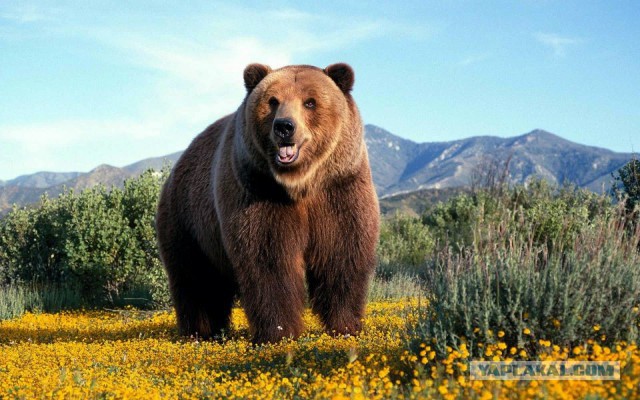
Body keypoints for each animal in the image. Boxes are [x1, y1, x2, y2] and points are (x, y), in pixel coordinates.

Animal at [156, 62, 380, 344]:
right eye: (273, 101)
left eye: (310, 102)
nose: (284, 126)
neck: (300, 184)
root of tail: (178, 164)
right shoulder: (258, 191)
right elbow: (269, 260)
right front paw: (279, 332)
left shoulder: (339, 189)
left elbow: (341, 253)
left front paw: (345, 326)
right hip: (188, 221)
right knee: (196, 279)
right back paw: (199, 332)